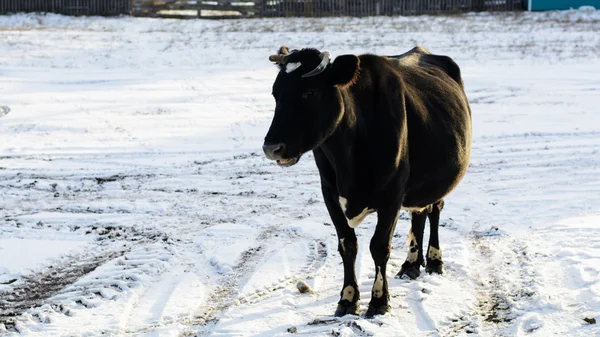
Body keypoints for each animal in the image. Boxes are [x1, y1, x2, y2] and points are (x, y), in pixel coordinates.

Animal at [262, 46, 474, 316]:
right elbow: (348, 245)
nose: (271, 148)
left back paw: (434, 261)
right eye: (275, 94)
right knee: (419, 214)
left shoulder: (392, 195)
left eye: (309, 92)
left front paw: (379, 300)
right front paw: (347, 299)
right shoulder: (329, 193)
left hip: (440, 180)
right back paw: (411, 264)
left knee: (434, 210)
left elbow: (379, 247)